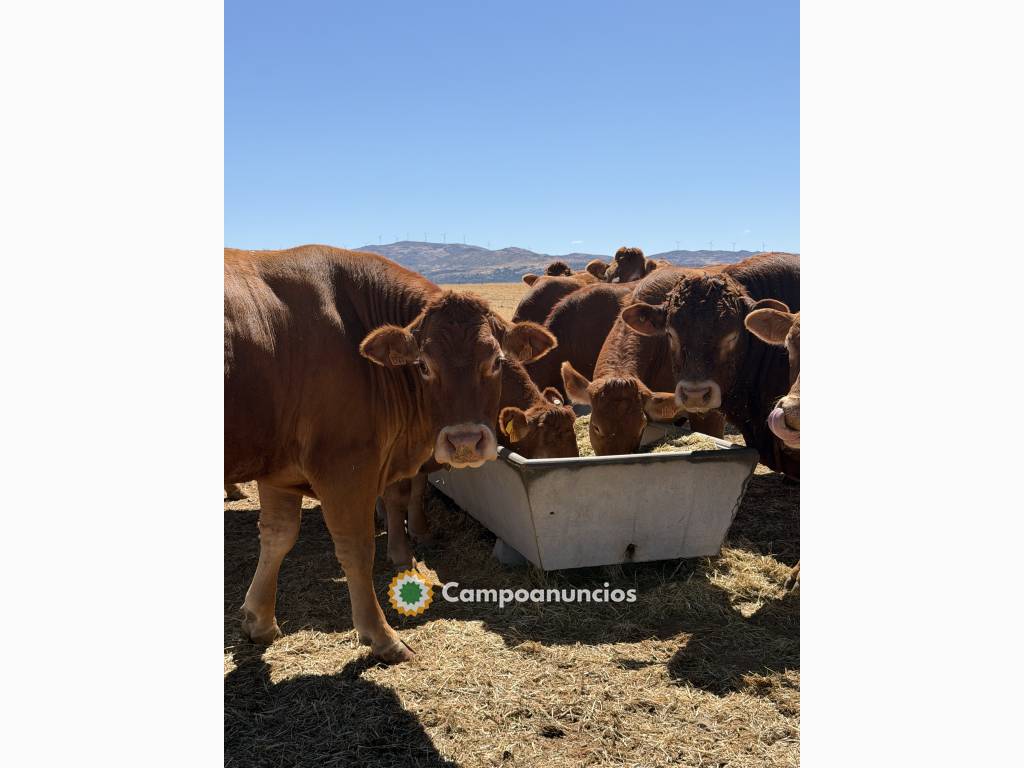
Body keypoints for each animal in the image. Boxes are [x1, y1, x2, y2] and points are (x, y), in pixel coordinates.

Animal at [224, 245, 556, 663]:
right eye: (424, 365)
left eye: (495, 361)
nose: (465, 442)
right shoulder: (345, 467)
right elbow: (356, 548)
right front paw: (381, 635)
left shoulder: (279, 469)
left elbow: (277, 536)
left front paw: (260, 621)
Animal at [382, 357, 578, 567]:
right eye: (546, 451)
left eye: (575, 448)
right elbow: (396, 495)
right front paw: (400, 553)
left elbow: (418, 487)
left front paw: (420, 532)